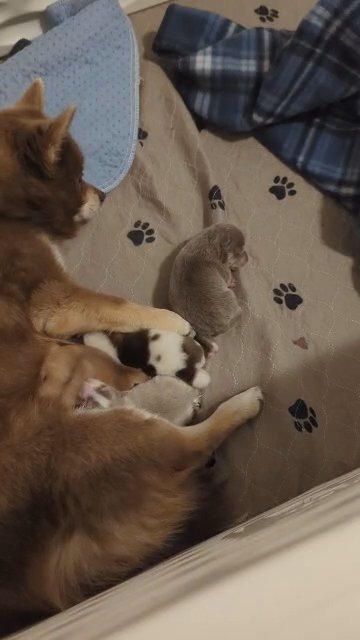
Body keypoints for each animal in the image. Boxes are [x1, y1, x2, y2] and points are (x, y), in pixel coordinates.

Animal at [0, 77, 262, 624]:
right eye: (78, 171)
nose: (101, 192)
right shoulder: (55, 300)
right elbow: (120, 305)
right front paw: (174, 321)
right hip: (114, 434)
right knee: (195, 445)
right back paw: (240, 403)